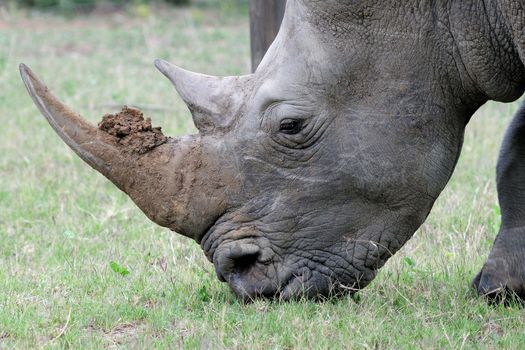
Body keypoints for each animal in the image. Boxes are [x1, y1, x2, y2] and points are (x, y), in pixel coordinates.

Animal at [20, 0, 524, 300]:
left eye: (291, 126)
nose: (240, 278)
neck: (453, 14)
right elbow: (514, 155)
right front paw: (499, 289)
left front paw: (497, 290)